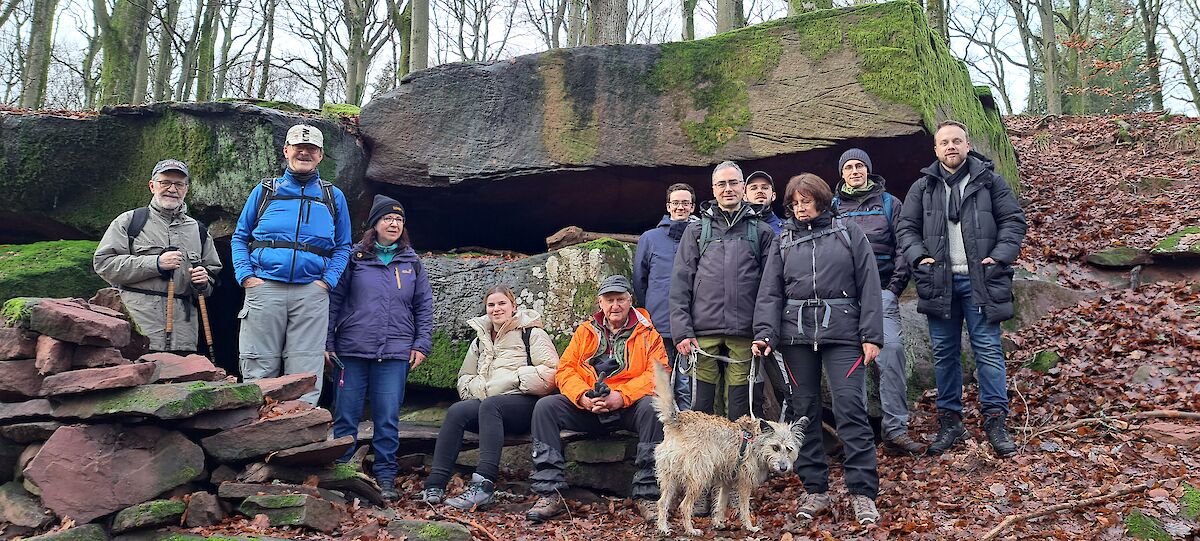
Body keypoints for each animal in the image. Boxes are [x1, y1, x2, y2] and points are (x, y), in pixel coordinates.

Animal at [648, 362, 806, 535]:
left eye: (789, 449)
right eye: (775, 447)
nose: (784, 468)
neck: (756, 441)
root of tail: (678, 421)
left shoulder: (727, 481)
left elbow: (721, 504)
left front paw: (718, 522)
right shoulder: (744, 483)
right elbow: (744, 508)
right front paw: (750, 526)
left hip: (669, 477)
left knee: (662, 502)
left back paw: (663, 527)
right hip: (699, 476)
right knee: (685, 505)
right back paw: (691, 530)